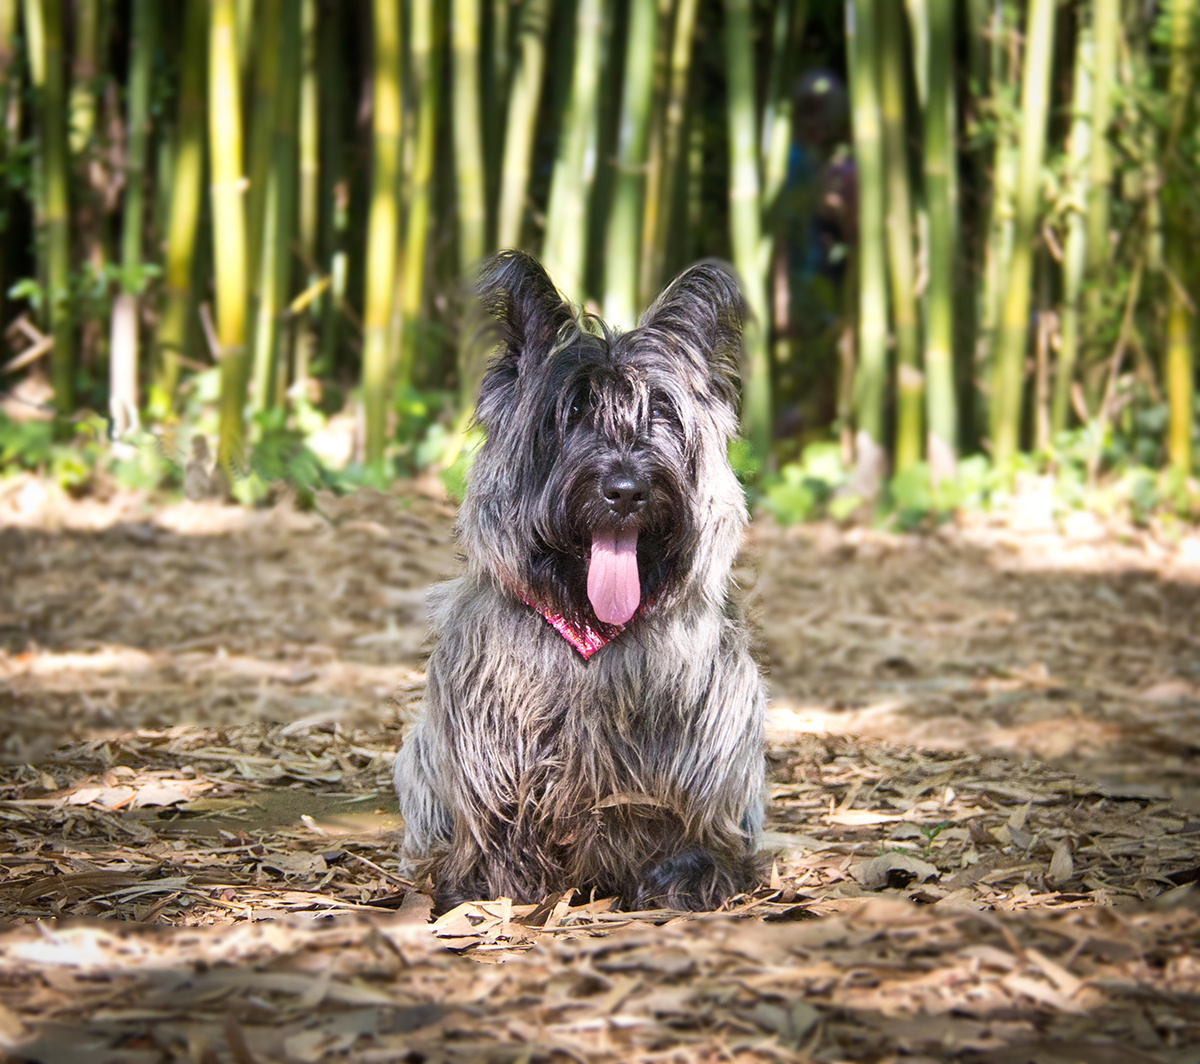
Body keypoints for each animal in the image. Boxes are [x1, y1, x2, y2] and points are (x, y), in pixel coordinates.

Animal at [393, 251, 768, 916]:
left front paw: (689, 877)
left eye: (661, 411)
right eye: (570, 412)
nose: (626, 490)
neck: (590, 620)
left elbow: (684, 817)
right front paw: (491, 888)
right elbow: (500, 821)